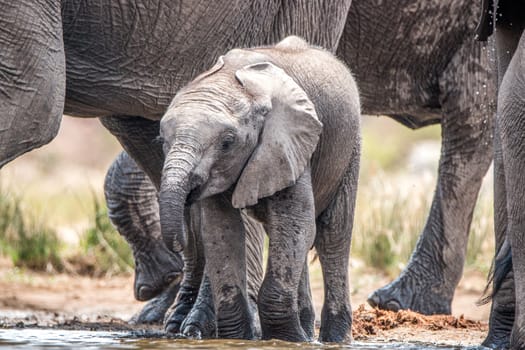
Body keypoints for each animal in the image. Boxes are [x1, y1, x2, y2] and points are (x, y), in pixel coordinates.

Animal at [158, 36, 358, 342]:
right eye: (162, 141)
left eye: (227, 142)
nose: (179, 242)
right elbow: (222, 230)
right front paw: (240, 338)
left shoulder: (288, 142)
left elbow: (296, 222)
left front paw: (286, 340)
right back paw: (306, 331)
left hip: (349, 147)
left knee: (332, 234)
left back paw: (331, 340)